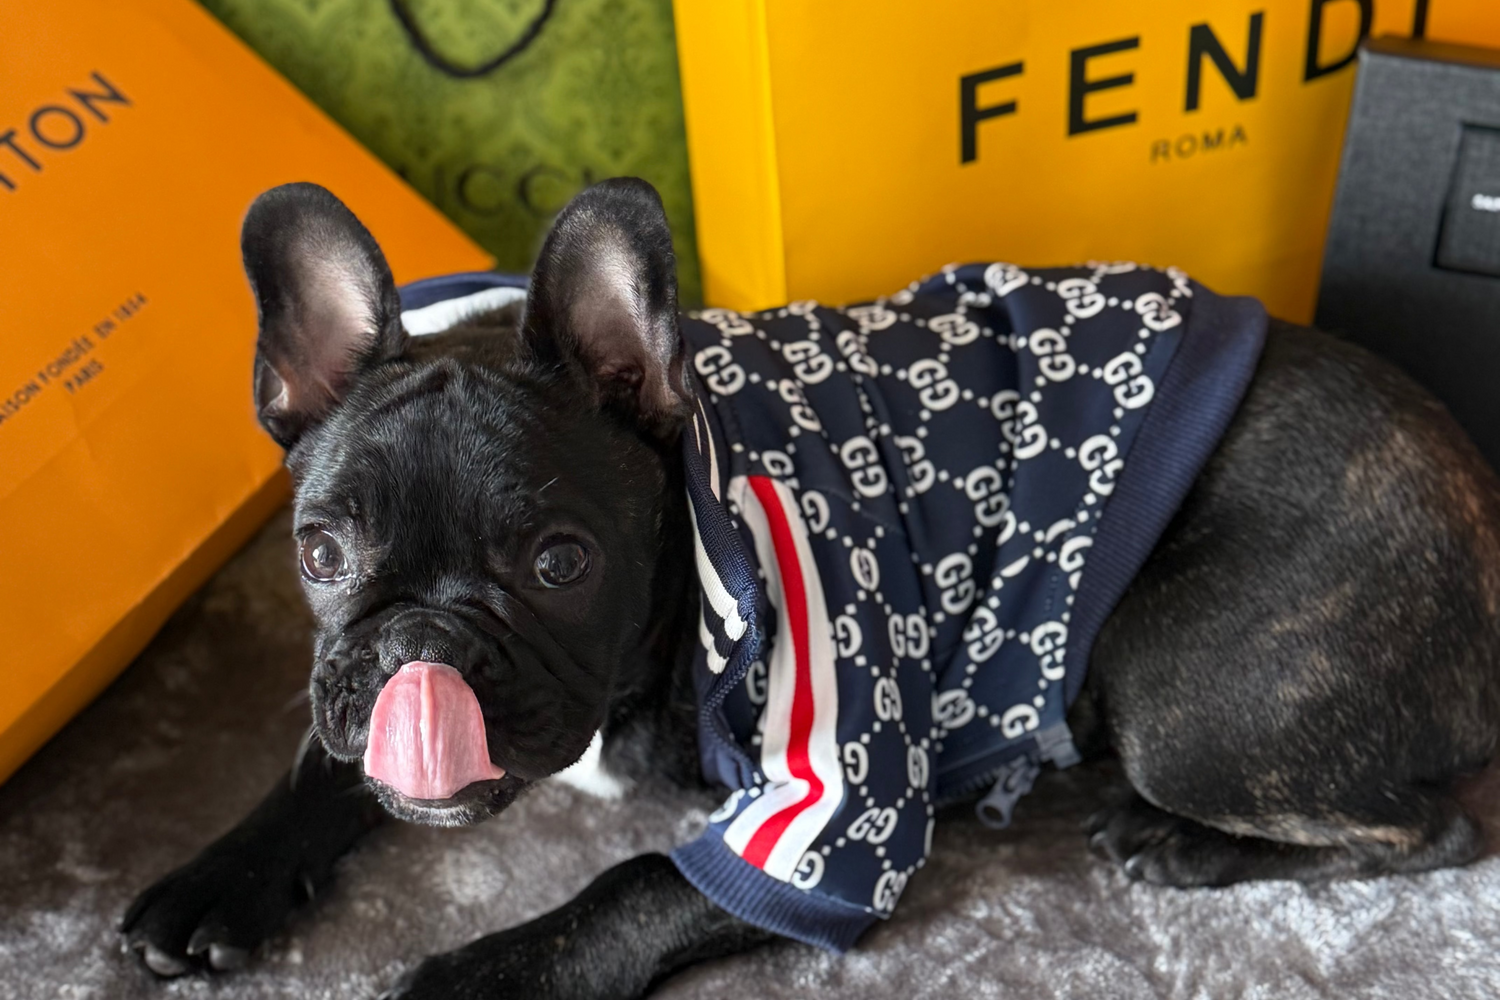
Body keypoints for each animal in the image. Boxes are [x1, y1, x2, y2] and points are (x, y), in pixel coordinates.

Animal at [122, 177, 1500, 998]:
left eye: (561, 563)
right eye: (320, 555)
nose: (423, 649)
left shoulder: (836, 797)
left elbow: (639, 884)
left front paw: (476, 975)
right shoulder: (347, 713)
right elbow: (318, 763)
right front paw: (213, 878)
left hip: (1183, 689)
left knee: (1429, 828)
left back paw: (1176, 843)